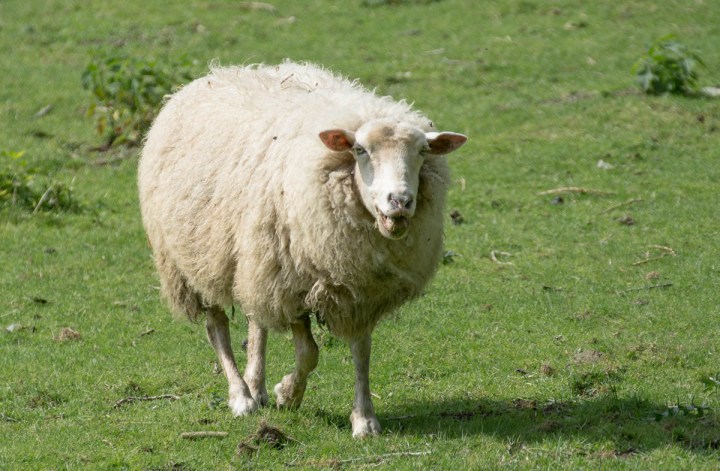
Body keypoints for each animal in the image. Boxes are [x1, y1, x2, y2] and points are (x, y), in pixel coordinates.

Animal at [137, 61, 467, 438]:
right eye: (360, 150)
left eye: (423, 152)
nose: (399, 201)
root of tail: (214, 74)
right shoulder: (292, 280)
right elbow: (309, 352)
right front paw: (288, 394)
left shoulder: (359, 292)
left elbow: (361, 351)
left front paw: (364, 419)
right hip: (196, 257)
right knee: (216, 325)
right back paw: (241, 396)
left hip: (254, 254)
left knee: (256, 321)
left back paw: (256, 384)